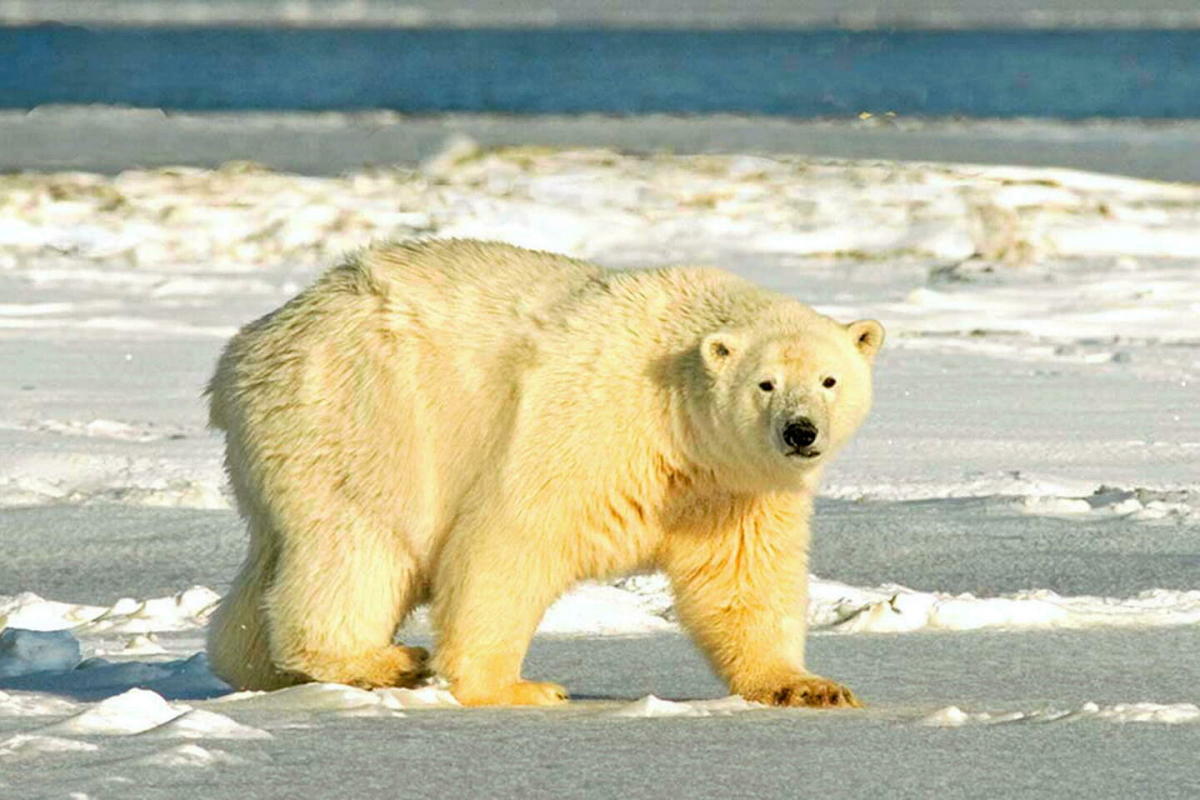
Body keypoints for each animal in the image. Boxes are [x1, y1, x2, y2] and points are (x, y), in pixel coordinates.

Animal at [206, 237, 883, 705]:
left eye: (829, 379)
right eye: (765, 383)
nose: (801, 431)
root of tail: (246, 350)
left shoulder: (733, 488)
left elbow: (743, 578)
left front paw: (810, 687)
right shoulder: (593, 425)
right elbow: (511, 539)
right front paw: (516, 688)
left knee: (270, 570)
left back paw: (262, 665)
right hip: (366, 411)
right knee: (360, 543)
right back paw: (385, 660)